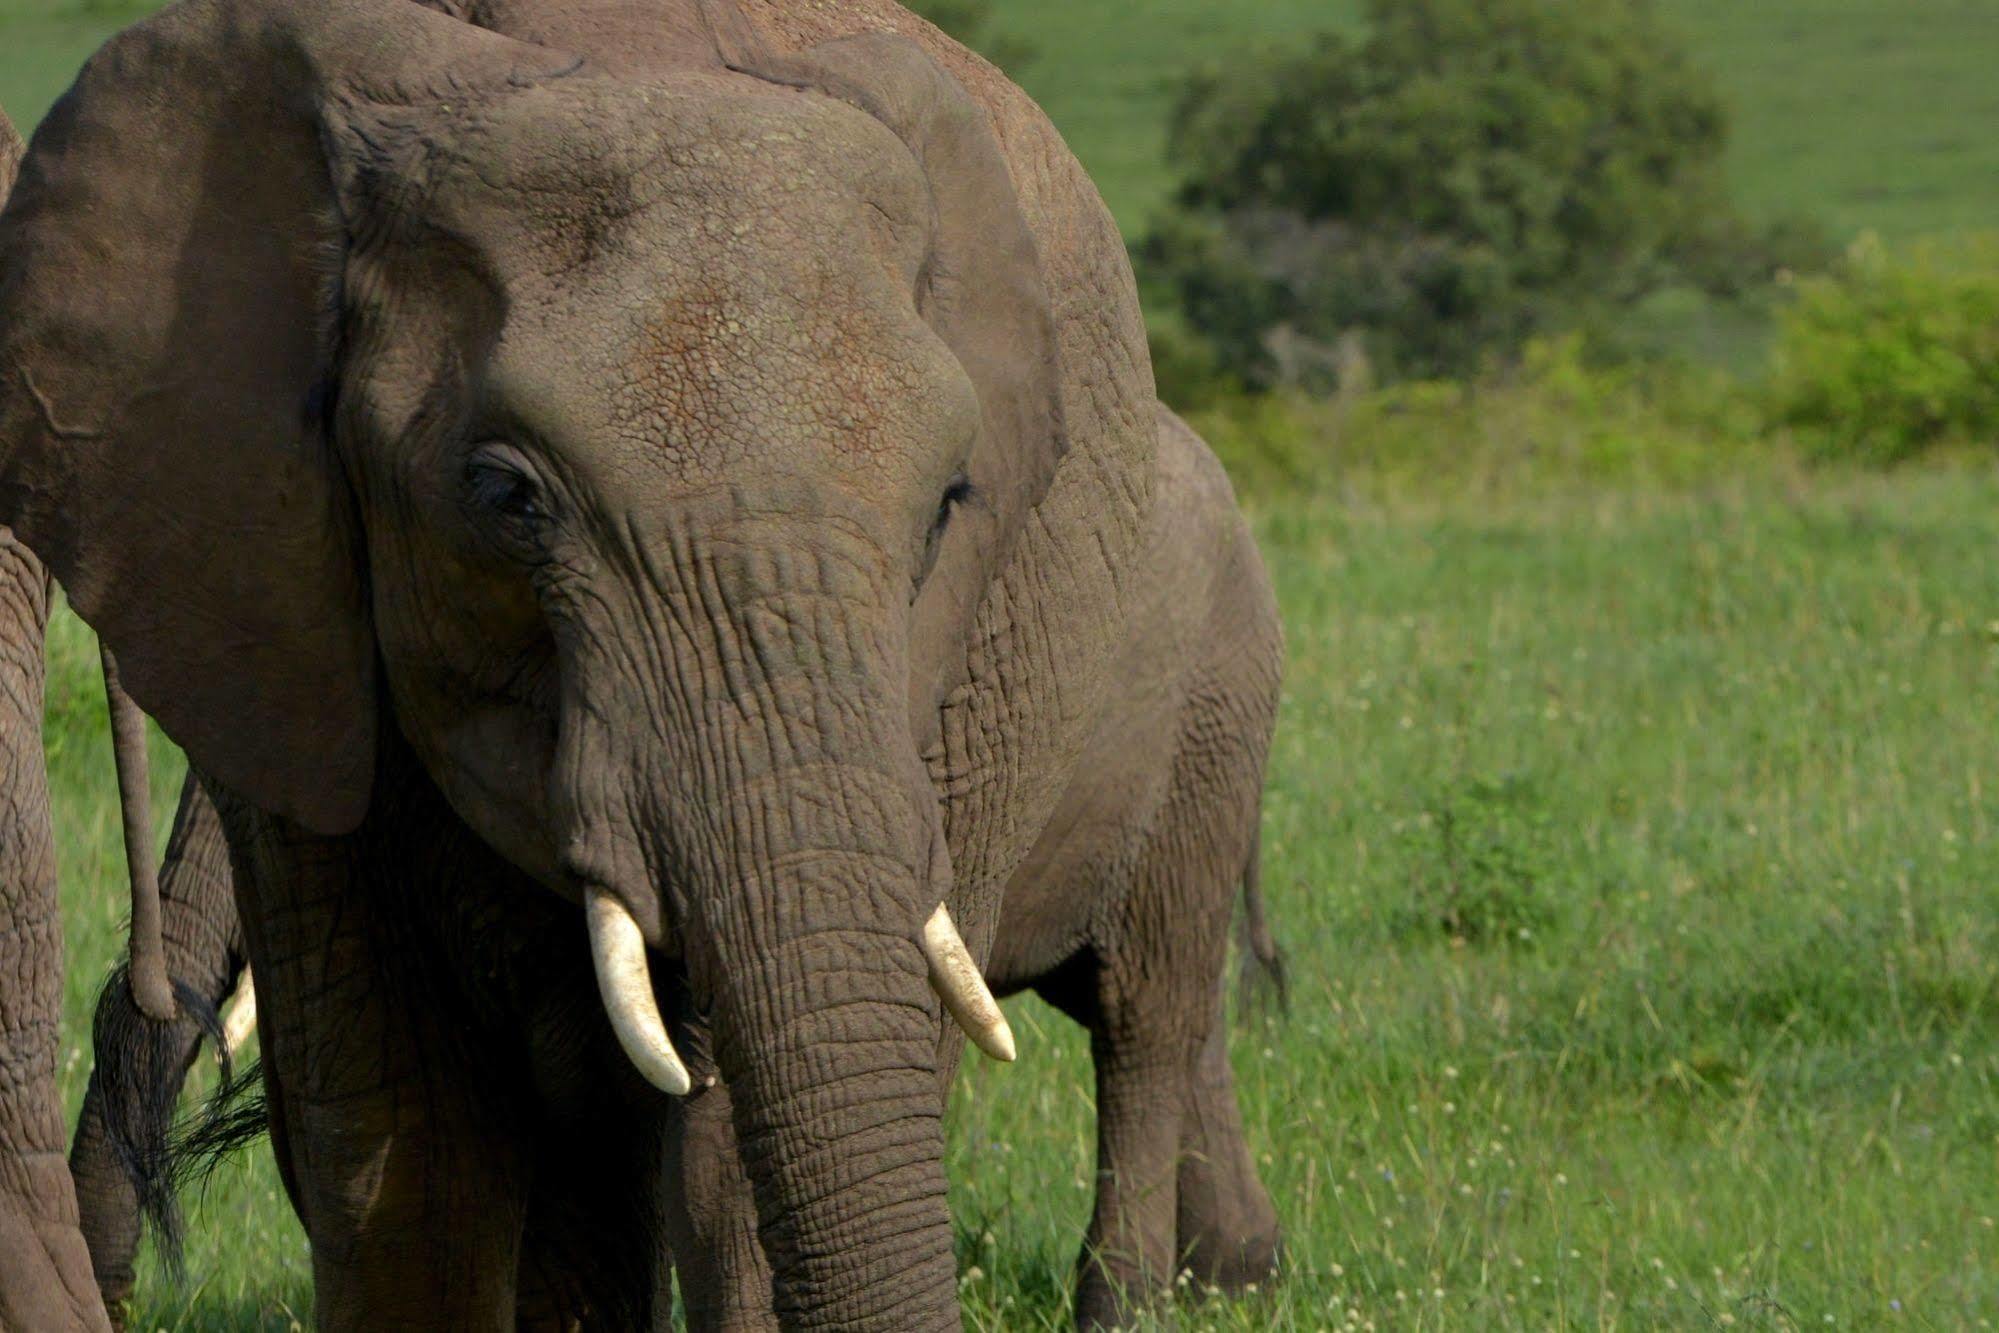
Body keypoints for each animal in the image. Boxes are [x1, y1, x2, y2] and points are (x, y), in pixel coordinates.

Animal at [0, 5, 1279, 1327]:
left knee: (1144, 1016)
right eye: (505, 497)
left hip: (1196, 716)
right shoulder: (291, 618)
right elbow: (407, 1146)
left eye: (948, 507)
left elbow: (730, 1154)